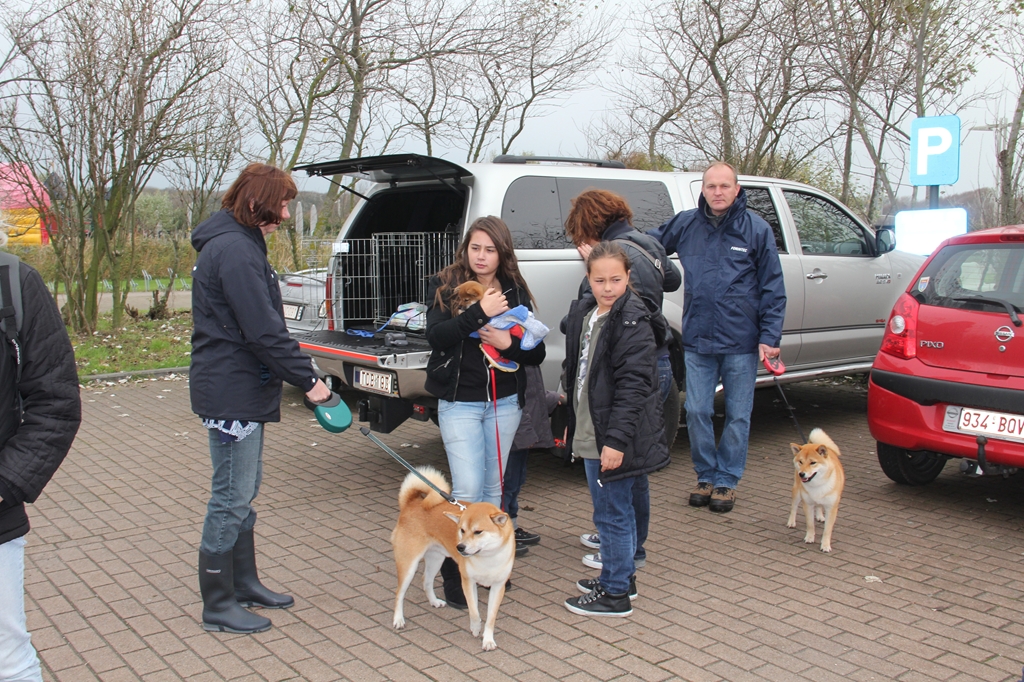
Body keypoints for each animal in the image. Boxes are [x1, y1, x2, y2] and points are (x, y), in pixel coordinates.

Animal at [389, 464, 516, 651]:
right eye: (461, 530)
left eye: (478, 532)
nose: (460, 547)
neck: (487, 558)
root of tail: (412, 503)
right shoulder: (468, 581)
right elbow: (474, 611)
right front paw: (475, 628)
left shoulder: (498, 587)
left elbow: (491, 618)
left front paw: (488, 639)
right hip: (408, 564)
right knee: (399, 593)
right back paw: (398, 619)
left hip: (436, 559)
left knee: (426, 580)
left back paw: (434, 601)